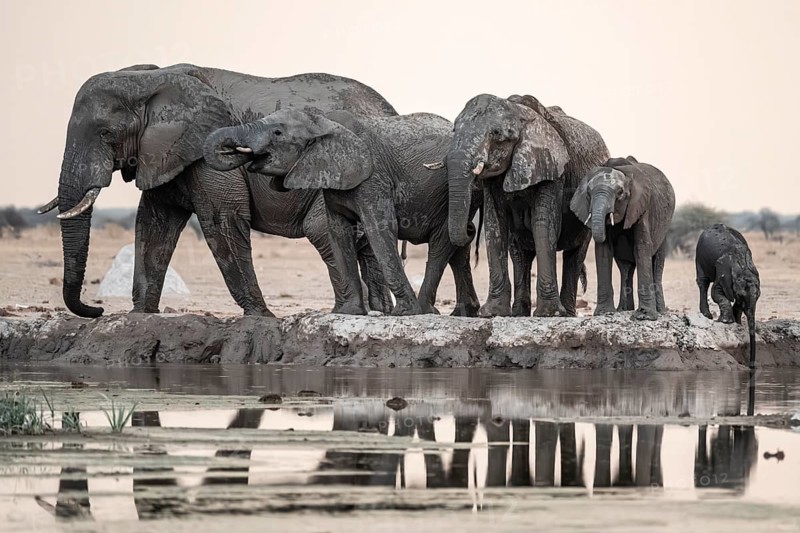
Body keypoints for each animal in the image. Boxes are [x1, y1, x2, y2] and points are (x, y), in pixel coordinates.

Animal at [37, 63, 397, 318]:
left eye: (106, 133)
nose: (96, 310)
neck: (151, 79)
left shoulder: (208, 151)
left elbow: (221, 219)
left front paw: (262, 317)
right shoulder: (164, 153)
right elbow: (154, 223)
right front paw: (140, 316)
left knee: (322, 228)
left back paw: (348, 312)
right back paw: (379, 312)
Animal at [203, 107, 482, 316]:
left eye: (277, 132)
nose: (235, 150)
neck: (324, 122)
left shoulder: (374, 178)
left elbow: (379, 230)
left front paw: (405, 313)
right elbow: (338, 232)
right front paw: (349, 312)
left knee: (442, 242)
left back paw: (425, 310)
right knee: (458, 247)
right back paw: (461, 312)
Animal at [441, 94, 609, 317]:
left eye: (496, 134)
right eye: (454, 130)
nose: (470, 228)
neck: (519, 113)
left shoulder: (551, 170)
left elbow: (544, 227)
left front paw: (549, 314)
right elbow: (495, 227)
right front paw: (492, 313)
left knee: (575, 254)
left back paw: (567, 313)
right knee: (520, 254)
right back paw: (519, 312)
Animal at [570, 156, 676, 320]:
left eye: (620, 193)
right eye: (588, 193)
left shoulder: (641, 207)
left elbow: (642, 247)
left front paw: (644, 316)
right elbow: (603, 250)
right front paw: (604, 312)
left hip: (663, 228)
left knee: (657, 263)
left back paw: (660, 311)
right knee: (625, 268)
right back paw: (624, 310)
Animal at [696, 224, 761, 366]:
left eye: (759, 296)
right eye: (741, 295)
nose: (751, 365)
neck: (743, 267)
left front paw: (737, 323)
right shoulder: (723, 272)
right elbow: (715, 293)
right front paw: (726, 321)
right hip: (699, 254)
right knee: (703, 282)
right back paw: (707, 315)